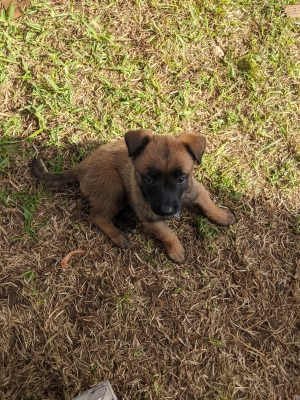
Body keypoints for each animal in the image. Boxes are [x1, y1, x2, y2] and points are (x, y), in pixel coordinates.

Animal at [32, 130, 234, 264]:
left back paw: (126, 223)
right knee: (97, 216)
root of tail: (81, 167)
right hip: (114, 188)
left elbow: (208, 205)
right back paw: (118, 236)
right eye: (150, 179)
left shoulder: (196, 190)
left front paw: (222, 216)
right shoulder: (150, 217)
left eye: (181, 178)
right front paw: (176, 250)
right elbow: (167, 233)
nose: (166, 211)